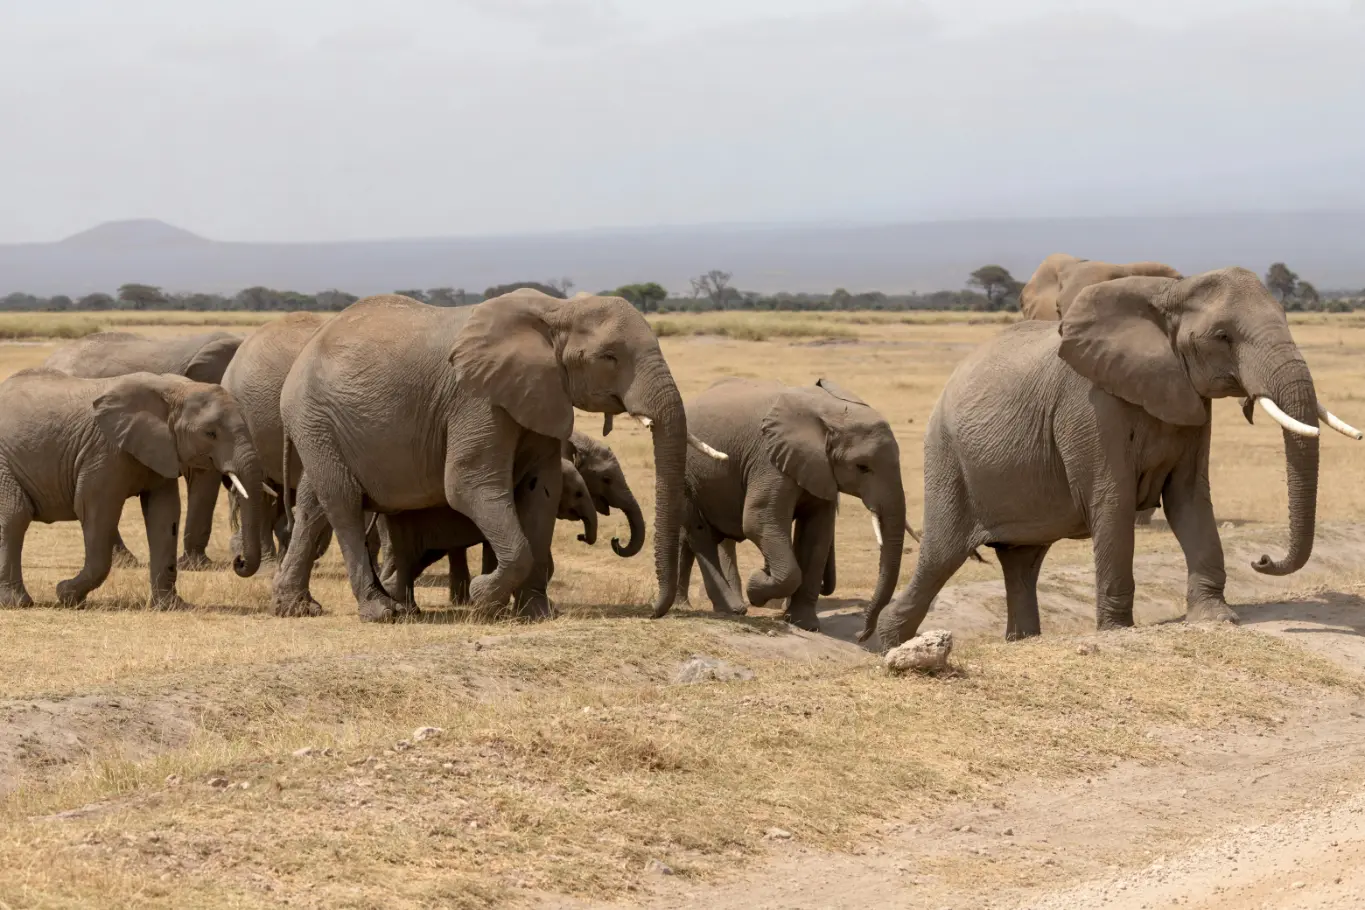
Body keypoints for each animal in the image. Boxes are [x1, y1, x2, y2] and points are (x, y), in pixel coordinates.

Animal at [0, 370, 264, 610]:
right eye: (210, 433)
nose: (238, 561)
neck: (174, 389)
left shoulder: (161, 450)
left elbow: (164, 514)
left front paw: (171, 606)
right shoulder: (104, 451)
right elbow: (95, 510)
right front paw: (66, 595)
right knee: (14, 516)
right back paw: (18, 603)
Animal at [661, 378, 907, 632]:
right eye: (862, 467)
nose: (862, 634)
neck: (829, 413)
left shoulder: (818, 470)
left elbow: (816, 534)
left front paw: (805, 625)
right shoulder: (769, 460)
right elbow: (757, 522)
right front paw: (757, 585)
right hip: (685, 472)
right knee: (700, 535)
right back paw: (731, 609)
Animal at [862, 267, 1361, 649]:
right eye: (1223, 336)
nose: (1262, 560)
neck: (1169, 293)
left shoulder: (1190, 400)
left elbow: (1189, 500)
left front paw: (1216, 617)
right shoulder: (1088, 406)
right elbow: (1113, 500)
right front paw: (1119, 631)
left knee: (1021, 562)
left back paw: (1022, 642)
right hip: (947, 458)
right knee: (941, 557)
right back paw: (884, 646)